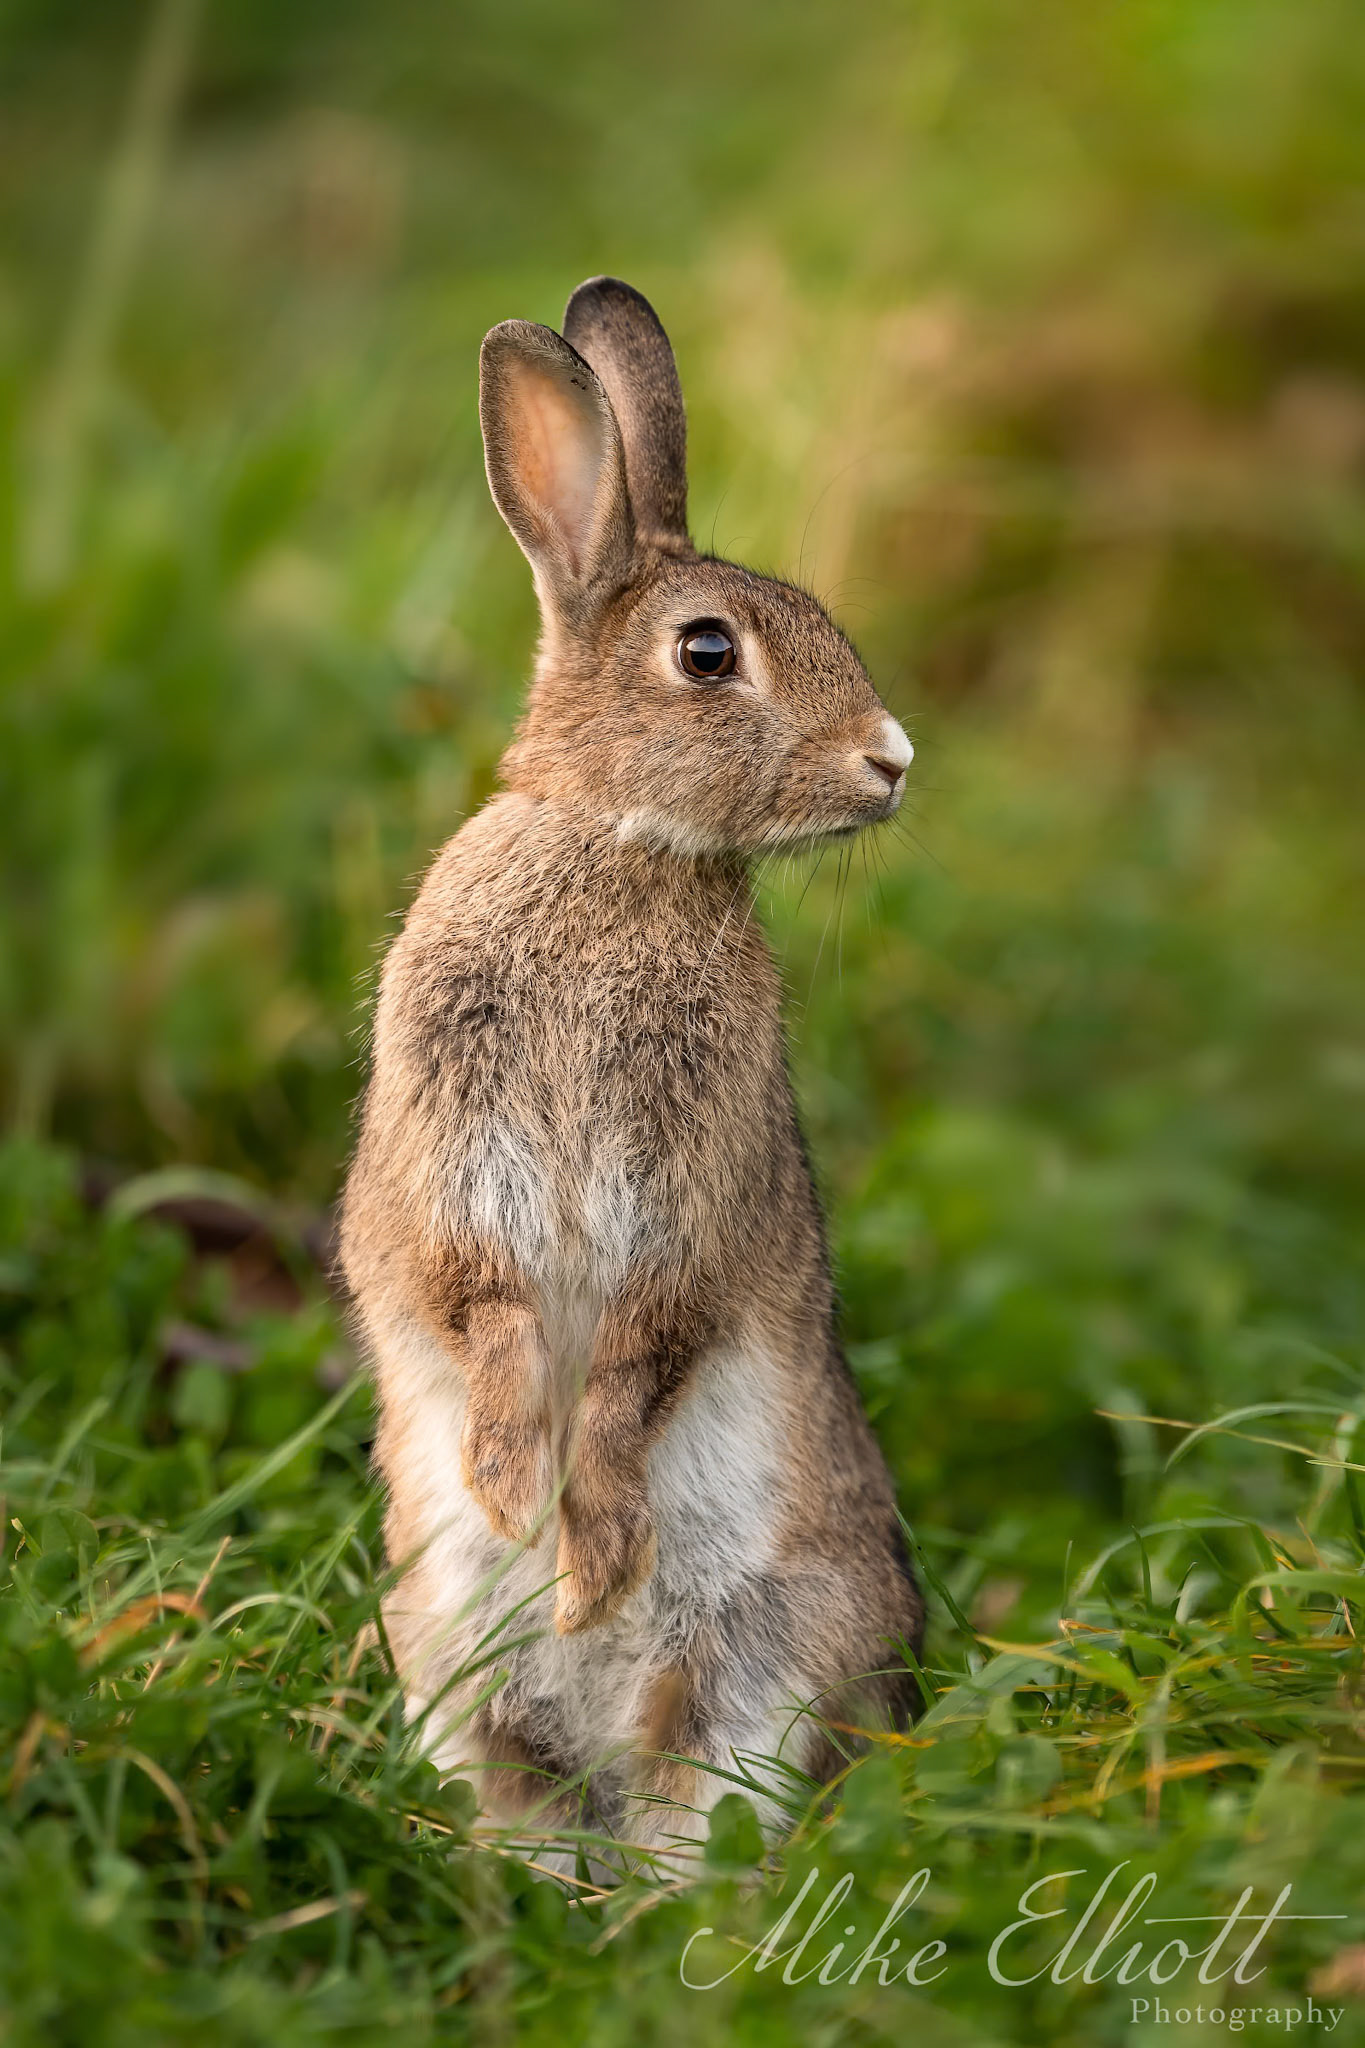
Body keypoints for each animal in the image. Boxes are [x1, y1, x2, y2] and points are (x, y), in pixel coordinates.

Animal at [340, 276, 924, 1875]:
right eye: (709, 652)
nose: (894, 761)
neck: (617, 843)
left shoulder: (685, 1192)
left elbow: (640, 1355)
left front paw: (584, 1541)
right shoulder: (455, 1153)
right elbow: (483, 1308)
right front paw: (506, 1489)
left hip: (764, 1658)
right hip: (447, 1663)